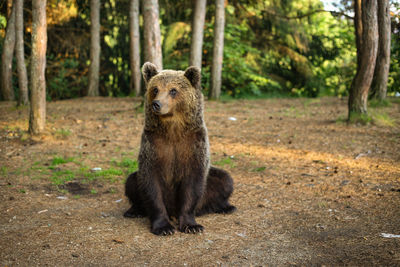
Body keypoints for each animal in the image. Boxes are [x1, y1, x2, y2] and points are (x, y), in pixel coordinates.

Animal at [124, 62, 234, 237]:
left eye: (173, 90)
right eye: (155, 89)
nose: (157, 104)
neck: (173, 130)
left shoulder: (193, 145)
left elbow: (193, 184)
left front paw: (192, 225)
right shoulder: (153, 145)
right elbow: (150, 184)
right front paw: (163, 227)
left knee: (225, 180)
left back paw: (226, 206)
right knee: (131, 182)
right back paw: (133, 210)